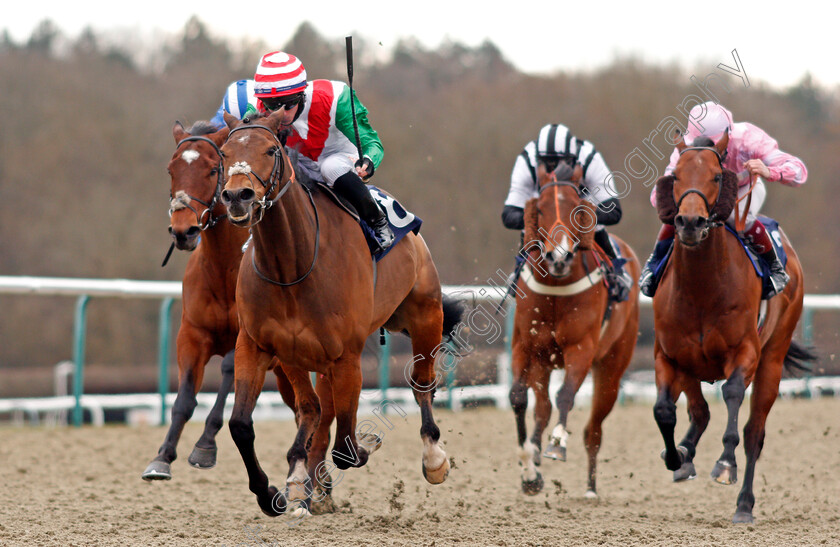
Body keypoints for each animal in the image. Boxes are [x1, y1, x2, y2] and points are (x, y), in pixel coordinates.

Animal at [218, 110, 460, 520]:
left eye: (271, 149)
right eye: (224, 151)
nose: (237, 196)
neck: (293, 265)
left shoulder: (347, 356)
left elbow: (347, 448)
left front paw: (366, 442)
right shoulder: (263, 346)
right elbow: (244, 424)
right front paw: (273, 491)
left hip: (425, 316)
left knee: (422, 384)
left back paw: (433, 459)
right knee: (316, 409)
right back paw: (307, 483)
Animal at [508, 162, 640, 496]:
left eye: (576, 207)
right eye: (540, 209)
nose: (559, 256)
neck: (556, 287)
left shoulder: (581, 348)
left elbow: (565, 395)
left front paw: (557, 444)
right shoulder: (526, 347)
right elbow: (518, 397)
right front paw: (529, 470)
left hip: (611, 368)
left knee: (593, 429)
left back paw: (590, 488)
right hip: (543, 362)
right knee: (541, 409)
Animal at [652, 131, 816, 524]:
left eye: (716, 176)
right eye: (675, 175)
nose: (690, 223)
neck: (701, 289)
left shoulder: (746, 352)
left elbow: (733, 394)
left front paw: (725, 464)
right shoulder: (669, 355)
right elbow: (665, 410)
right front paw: (676, 456)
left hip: (772, 360)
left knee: (754, 431)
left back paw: (744, 504)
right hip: (692, 364)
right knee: (700, 411)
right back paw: (685, 454)